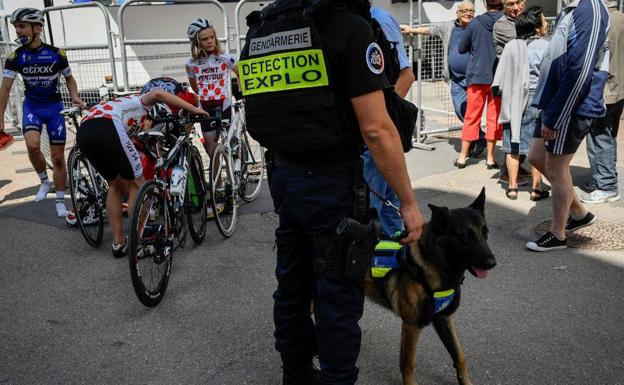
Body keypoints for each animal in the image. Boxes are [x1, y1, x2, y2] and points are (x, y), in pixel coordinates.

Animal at [364, 188, 494, 384]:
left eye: (485, 233)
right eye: (465, 235)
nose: (492, 263)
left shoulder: (443, 318)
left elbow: (459, 356)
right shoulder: (412, 326)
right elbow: (409, 365)